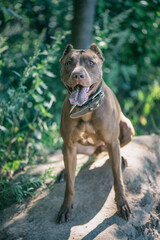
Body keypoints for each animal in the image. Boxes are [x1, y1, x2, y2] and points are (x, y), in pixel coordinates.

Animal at [57, 43, 135, 223]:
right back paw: (64, 171)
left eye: (91, 63)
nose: (77, 75)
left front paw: (122, 204)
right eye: (69, 62)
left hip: (127, 127)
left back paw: (120, 159)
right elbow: (70, 184)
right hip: (72, 147)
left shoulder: (112, 141)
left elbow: (118, 179)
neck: (86, 109)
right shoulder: (69, 144)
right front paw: (66, 207)